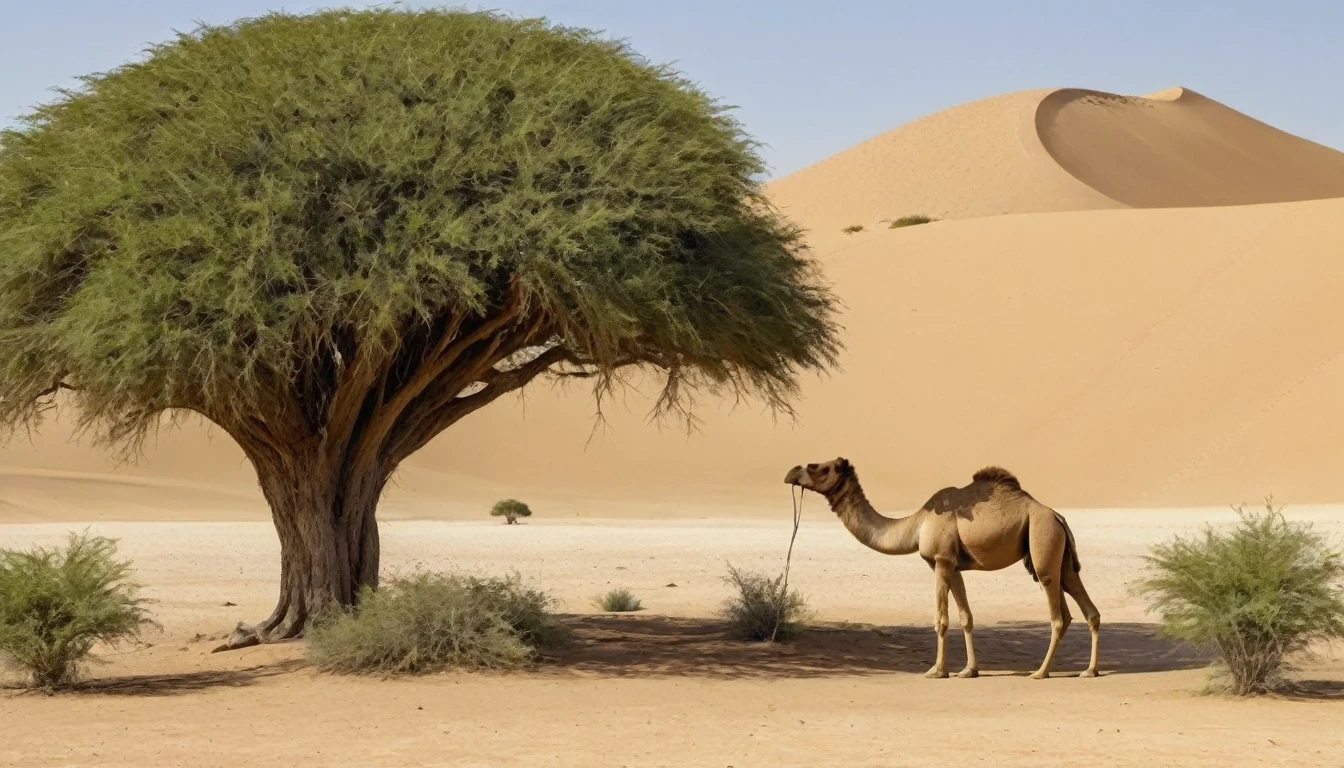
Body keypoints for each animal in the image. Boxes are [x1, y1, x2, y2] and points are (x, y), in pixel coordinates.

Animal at [784, 457, 1096, 677]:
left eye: (820, 468)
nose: (791, 472)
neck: (917, 524)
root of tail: (1057, 516)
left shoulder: (940, 561)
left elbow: (942, 620)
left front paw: (937, 670)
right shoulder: (954, 566)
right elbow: (966, 617)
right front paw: (969, 670)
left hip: (1042, 543)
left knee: (1057, 614)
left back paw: (1040, 672)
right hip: (1059, 556)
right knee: (1083, 607)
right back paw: (1088, 670)